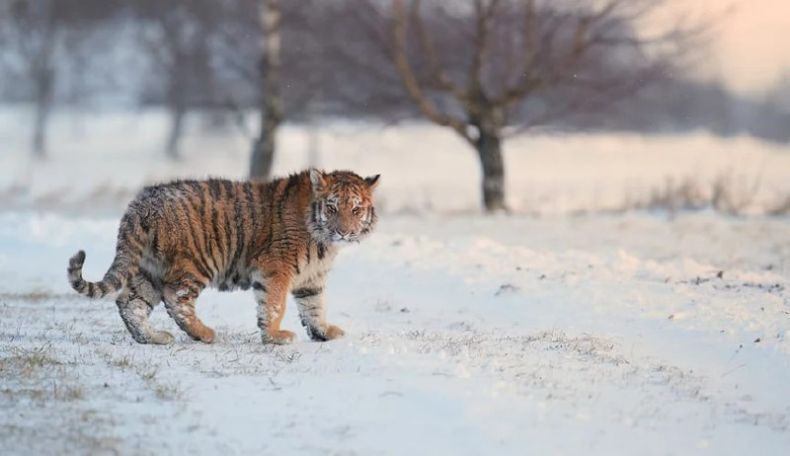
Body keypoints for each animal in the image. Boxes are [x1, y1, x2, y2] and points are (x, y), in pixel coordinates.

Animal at [66, 169, 380, 345]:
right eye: (332, 207)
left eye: (355, 210)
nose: (344, 232)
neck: (322, 238)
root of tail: (141, 203)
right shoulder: (276, 268)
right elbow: (274, 305)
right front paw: (276, 336)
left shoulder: (311, 277)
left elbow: (314, 306)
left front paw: (324, 332)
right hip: (194, 263)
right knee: (176, 299)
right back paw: (204, 334)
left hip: (148, 269)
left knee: (130, 304)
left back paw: (153, 338)